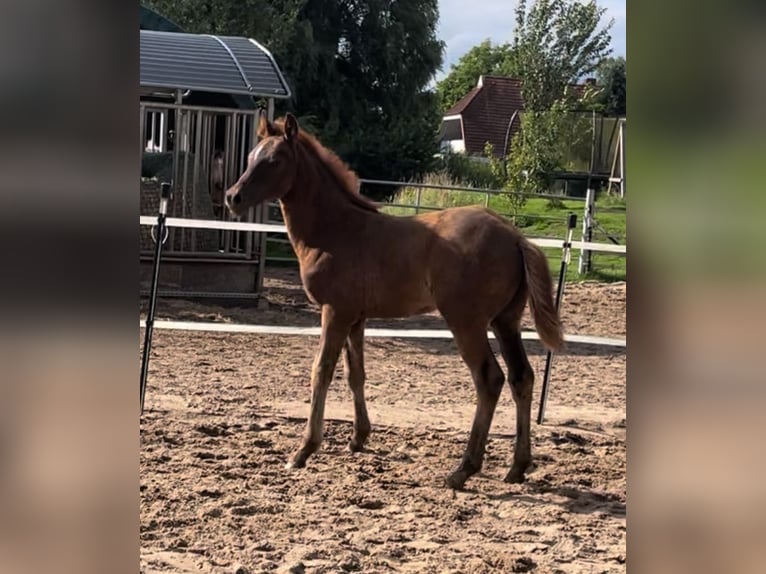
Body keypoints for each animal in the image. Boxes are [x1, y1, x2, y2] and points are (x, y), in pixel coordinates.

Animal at [224, 113, 564, 490]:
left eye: (274, 160)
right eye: (251, 156)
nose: (233, 197)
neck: (336, 229)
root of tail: (516, 237)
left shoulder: (334, 312)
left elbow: (321, 371)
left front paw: (303, 451)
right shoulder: (356, 317)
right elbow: (355, 373)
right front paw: (358, 438)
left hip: (466, 322)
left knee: (489, 379)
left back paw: (463, 469)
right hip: (505, 322)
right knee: (522, 378)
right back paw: (517, 467)